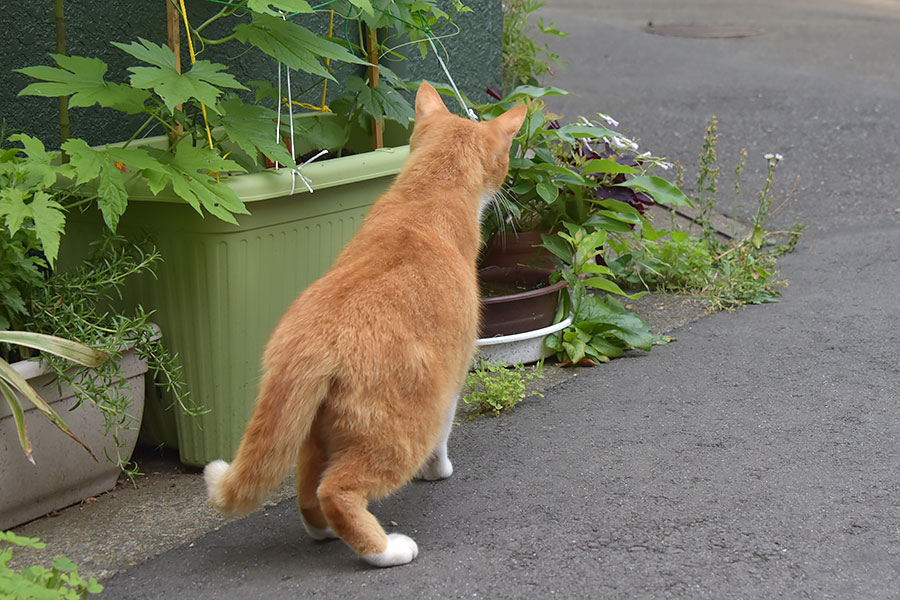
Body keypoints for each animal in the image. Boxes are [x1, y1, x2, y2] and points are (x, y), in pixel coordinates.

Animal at [204, 83, 528, 568]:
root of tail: (306, 343)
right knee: (336, 490)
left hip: (317, 430)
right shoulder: (451, 378)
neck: (427, 193)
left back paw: (322, 532)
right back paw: (386, 550)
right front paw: (439, 471)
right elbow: (446, 433)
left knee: (308, 489)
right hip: (399, 430)